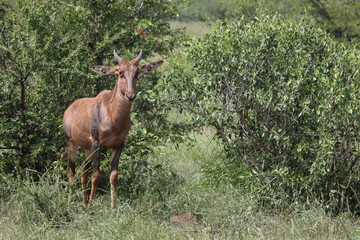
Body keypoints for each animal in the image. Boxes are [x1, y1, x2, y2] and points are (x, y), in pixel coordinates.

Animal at [60, 49, 165, 207]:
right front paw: (90, 206)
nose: (130, 95)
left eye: (136, 72)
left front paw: (113, 208)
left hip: (87, 148)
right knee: (71, 172)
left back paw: (83, 202)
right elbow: (96, 175)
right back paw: (69, 204)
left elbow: (114, 176)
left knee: (84, 171)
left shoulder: (118, 145)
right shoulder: (97, 144)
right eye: (120, 72)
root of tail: (70, 108)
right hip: (71, 143)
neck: (111, 113)